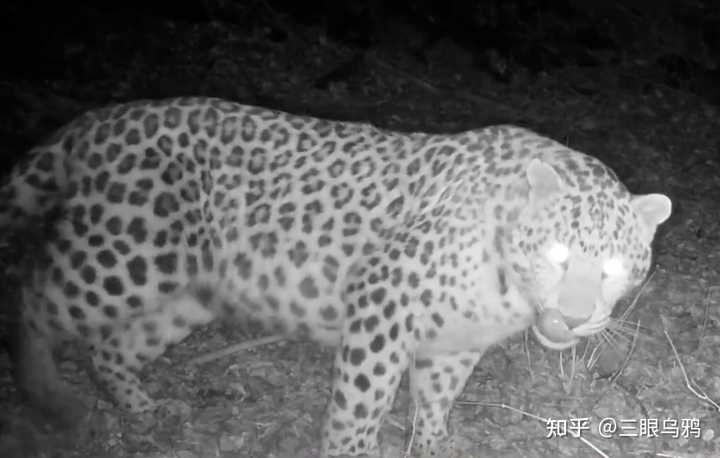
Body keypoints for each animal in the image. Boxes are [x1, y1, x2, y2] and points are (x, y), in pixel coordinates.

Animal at [0, 96, 671, 457]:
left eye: (613, 270)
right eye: (558, 255)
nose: (576, 319)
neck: (507, 291)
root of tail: (97, 121)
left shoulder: (455, 342)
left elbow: (435, 402)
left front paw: (432, 445)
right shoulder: (383, 302)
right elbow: (361, 400)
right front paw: (351, 449)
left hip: (184, 291)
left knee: (112, 346)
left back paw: (142, 407)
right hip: (126, 254)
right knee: (33, 297)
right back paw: (50, 399)